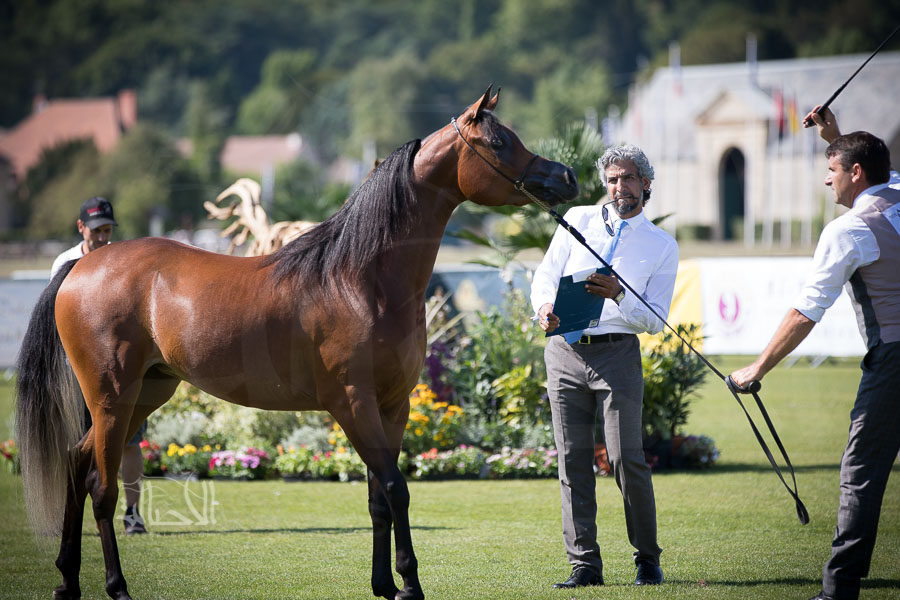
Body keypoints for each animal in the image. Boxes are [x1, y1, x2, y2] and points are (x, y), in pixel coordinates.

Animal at [15, 86, 578, 600]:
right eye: (500, 141)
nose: (565, 178)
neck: (360, 279)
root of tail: (81, 268)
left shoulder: (392, 406)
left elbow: (378, 495)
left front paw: (384, 585)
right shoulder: (353, 404)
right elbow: (395, 488)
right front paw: (410, 585)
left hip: (145, 394)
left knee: (75, 464)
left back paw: (67, 580)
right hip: (112, 400)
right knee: (102, 487)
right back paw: (116, 587)